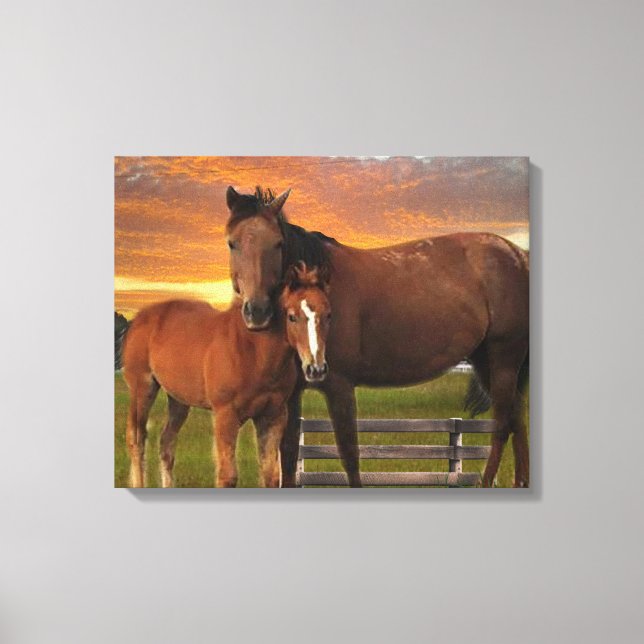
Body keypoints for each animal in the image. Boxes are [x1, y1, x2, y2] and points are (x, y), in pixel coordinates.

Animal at [121, 262, 332, 488]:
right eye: (291, 316)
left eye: (328, 315)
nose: (316, 369)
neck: (254, 353)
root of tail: (140, 318)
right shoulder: (225, 415)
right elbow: (227, 476)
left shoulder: (273, 416)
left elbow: (271, 475)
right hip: (142, 388)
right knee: (136, 438)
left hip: (178, 399)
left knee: (166, 442)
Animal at [225, 186, 529, 488]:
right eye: (232, 243)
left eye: (277, 243)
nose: (257, 311)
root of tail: (518, 255)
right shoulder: (292, 394)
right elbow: (288, 454)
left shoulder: (340, 385)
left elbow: (349, 453)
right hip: (486, 361)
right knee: (518, 420)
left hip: (504, 358)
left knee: (503, 425)